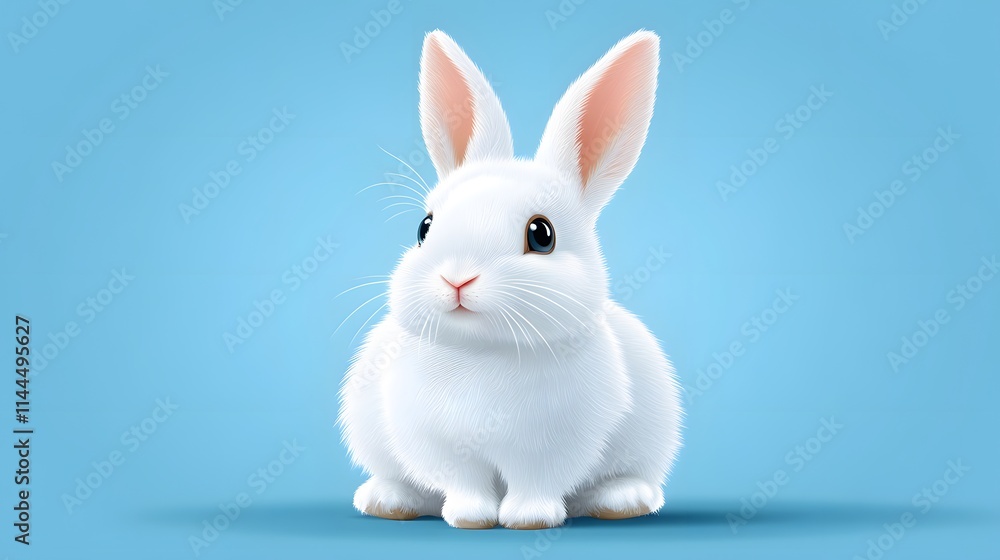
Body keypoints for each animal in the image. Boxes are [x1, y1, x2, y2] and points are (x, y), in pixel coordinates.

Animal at [338, 29, 682, 530]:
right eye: (424, 227)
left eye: (542, 235)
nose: (457, 279)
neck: (484, 352)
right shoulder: (441, 445)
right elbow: (464, 482)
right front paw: (470, 518)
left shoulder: (552, 449)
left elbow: (535, 483)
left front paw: (529, 519)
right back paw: (388, 500)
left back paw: (621, 501)